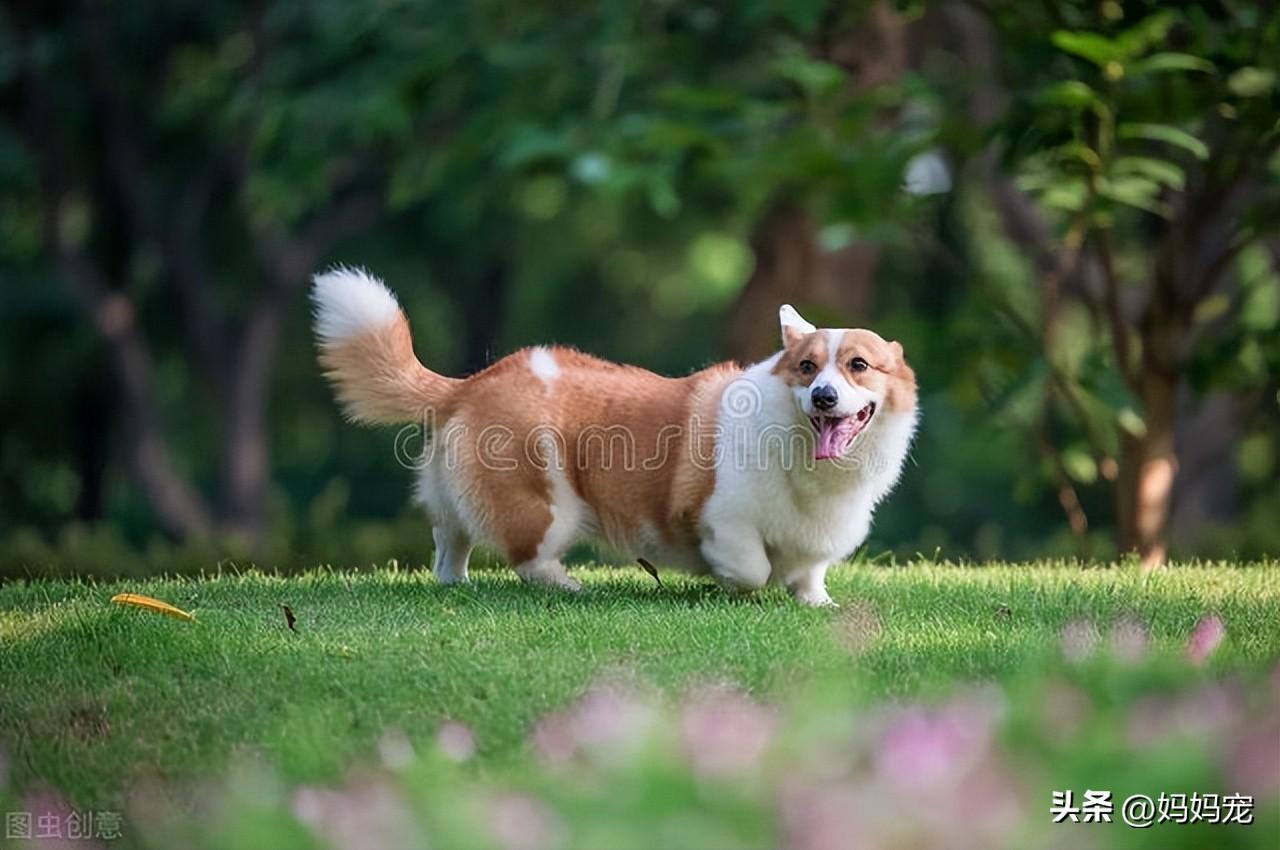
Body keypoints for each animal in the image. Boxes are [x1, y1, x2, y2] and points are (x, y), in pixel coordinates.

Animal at [320, 267, 921, 604]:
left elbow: (809, 575)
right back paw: (568, 586)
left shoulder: (817, 540)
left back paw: (455, 583)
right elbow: (752, 569)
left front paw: (818, 603)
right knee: (527, 559)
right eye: (806, 367)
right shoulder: (725, 520)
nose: (823, 398)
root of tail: (470, 384)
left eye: (859, 366)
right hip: (547, 505)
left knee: (450, 538)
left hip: (459, 500)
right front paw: (728, 581)